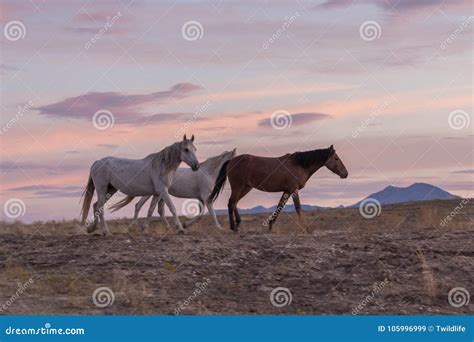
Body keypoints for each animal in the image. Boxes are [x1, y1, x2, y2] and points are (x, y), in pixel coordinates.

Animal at [208, 146, 348, 231]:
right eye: (336, 158)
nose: (345, 174)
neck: (299, 165)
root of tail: (231, 161)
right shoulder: (294, 190)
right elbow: (298, 208)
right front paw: (305, 228)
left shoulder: (287, 191)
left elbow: (279, 207)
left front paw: (270, 226)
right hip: (238, 186)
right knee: (231, 203)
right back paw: (234, 227)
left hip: (246, 187)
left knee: (234, 202)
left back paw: (238, 223)